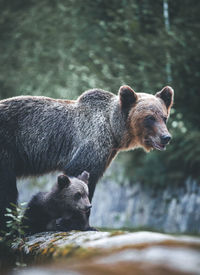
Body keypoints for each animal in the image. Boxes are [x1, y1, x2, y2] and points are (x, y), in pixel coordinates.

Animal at [0, 84, 173, 231]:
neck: (114, 130)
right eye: (149, 117)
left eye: (164, 117)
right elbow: (80, 175)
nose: (166, 137)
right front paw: (81, 223)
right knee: (7, 188)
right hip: (7, 148)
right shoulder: (92, 143)